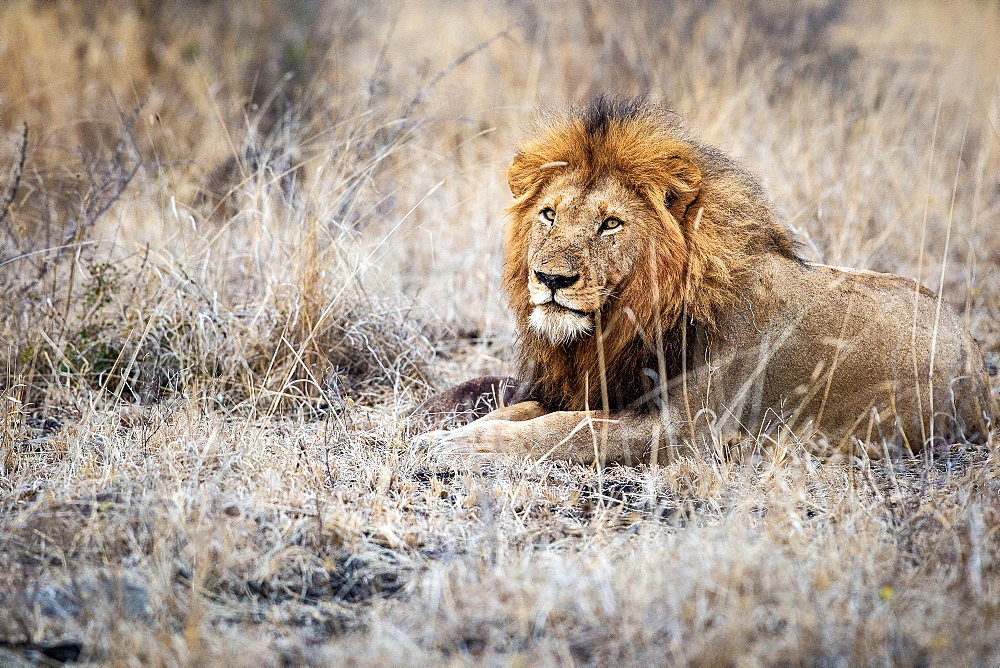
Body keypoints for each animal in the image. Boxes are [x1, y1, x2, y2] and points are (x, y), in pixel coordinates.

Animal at [412, 98, 992, 464]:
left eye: (610, 224)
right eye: (549, 214)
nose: (551, 278)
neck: (625, 323)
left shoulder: (685, 430)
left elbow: (572, 430)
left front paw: (468, 448)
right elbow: (526, 409)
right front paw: (453, 433)